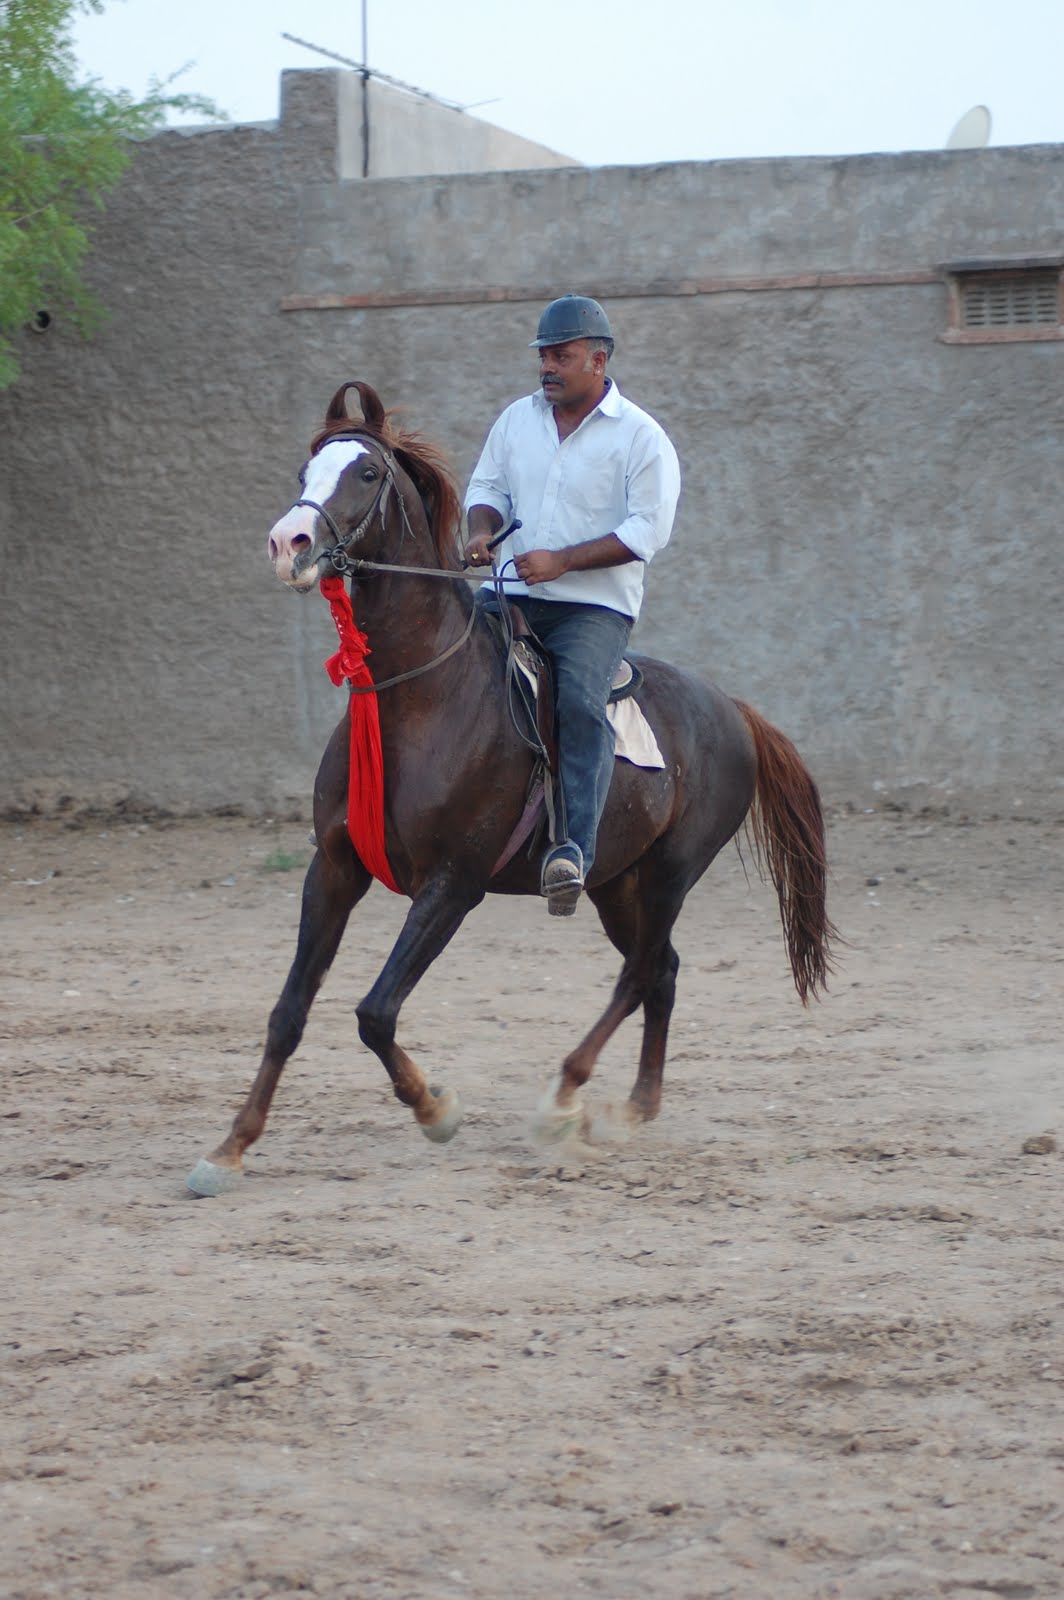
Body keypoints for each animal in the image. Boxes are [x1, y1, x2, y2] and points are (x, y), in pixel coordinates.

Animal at [186, 381, 834, 1196]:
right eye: (308, 469)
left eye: (365, 472)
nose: (289, 543)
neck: (419, 696)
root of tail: (733, 709)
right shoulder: (333, 870)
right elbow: (290, 1010)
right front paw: (229, 1147)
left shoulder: (452, 885)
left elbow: (374, 1011)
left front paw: (436, 1109)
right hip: (615, 883)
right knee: (661, 972)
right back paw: (636, 1107)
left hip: (670, 874)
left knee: (641, 971)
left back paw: (563, 1100)